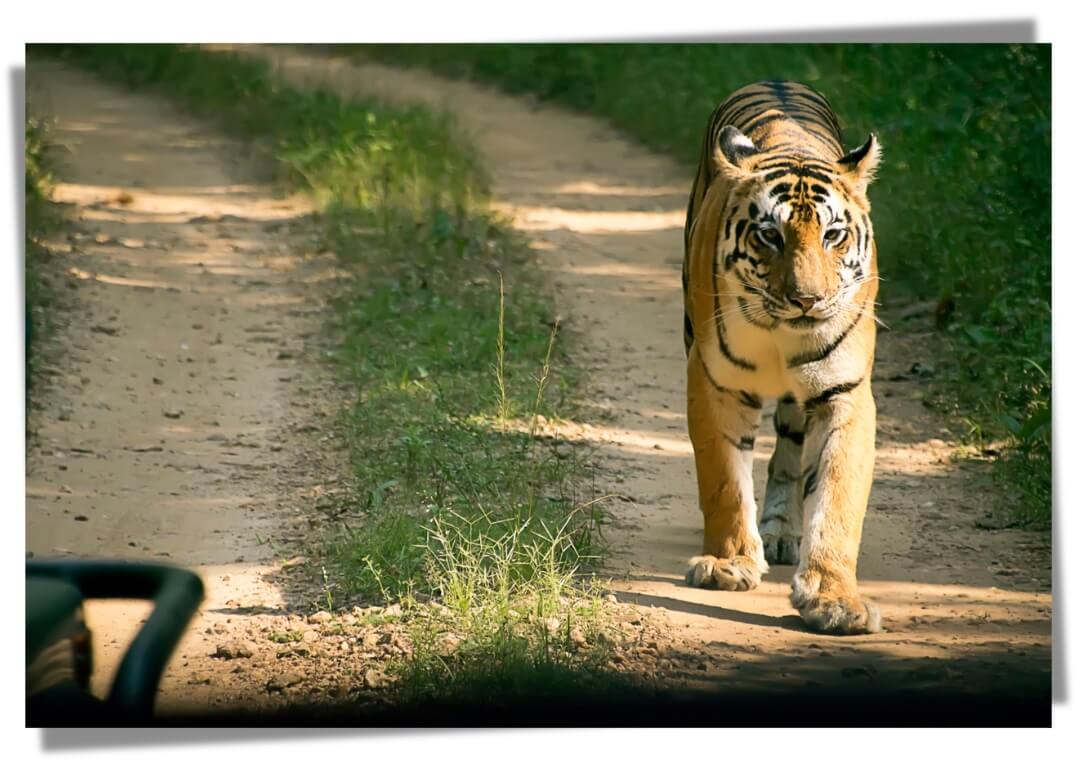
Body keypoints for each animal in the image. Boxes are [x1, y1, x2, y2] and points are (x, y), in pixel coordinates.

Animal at [682, 78, 885, 634]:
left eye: (833, 234)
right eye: (769, 235)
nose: (807, 300)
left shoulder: (845, 393)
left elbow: (837, 499)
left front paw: (834, 599)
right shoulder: (714, 382)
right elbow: (723, 481)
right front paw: (727, 565)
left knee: (790, 454)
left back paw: (780, 530)